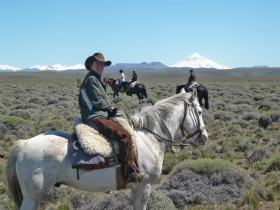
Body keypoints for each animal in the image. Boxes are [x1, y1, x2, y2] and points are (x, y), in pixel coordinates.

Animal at [6, 91, 208, 210]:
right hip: (32, 196)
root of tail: (24, 144)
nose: (204, 137)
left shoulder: (137, 189)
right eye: (199, 111)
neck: (149, 138)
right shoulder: (144, 187)